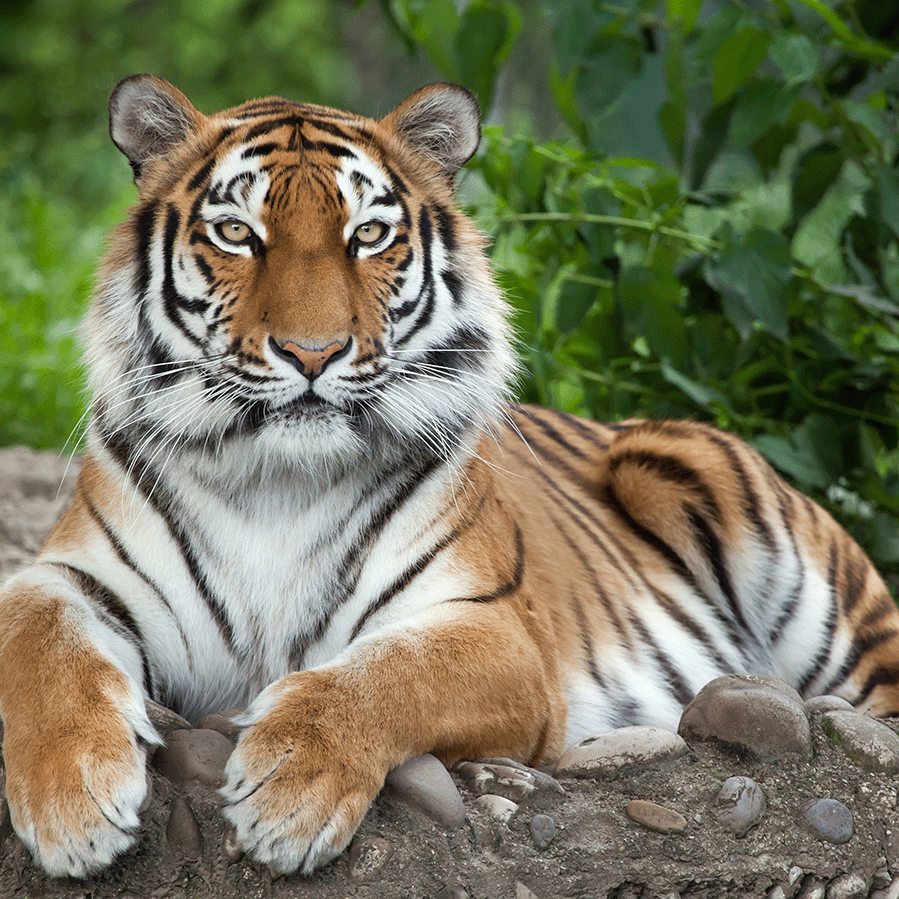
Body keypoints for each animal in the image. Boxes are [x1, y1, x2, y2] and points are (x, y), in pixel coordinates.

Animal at [1, 74, 898, 880]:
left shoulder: (496, 630)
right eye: (234, 232)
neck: (276, 480)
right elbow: (38, 642)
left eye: (367, 235)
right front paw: (74, 804)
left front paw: (288, 792)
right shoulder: (69, 573)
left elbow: (382, 675)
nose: (312, 353)